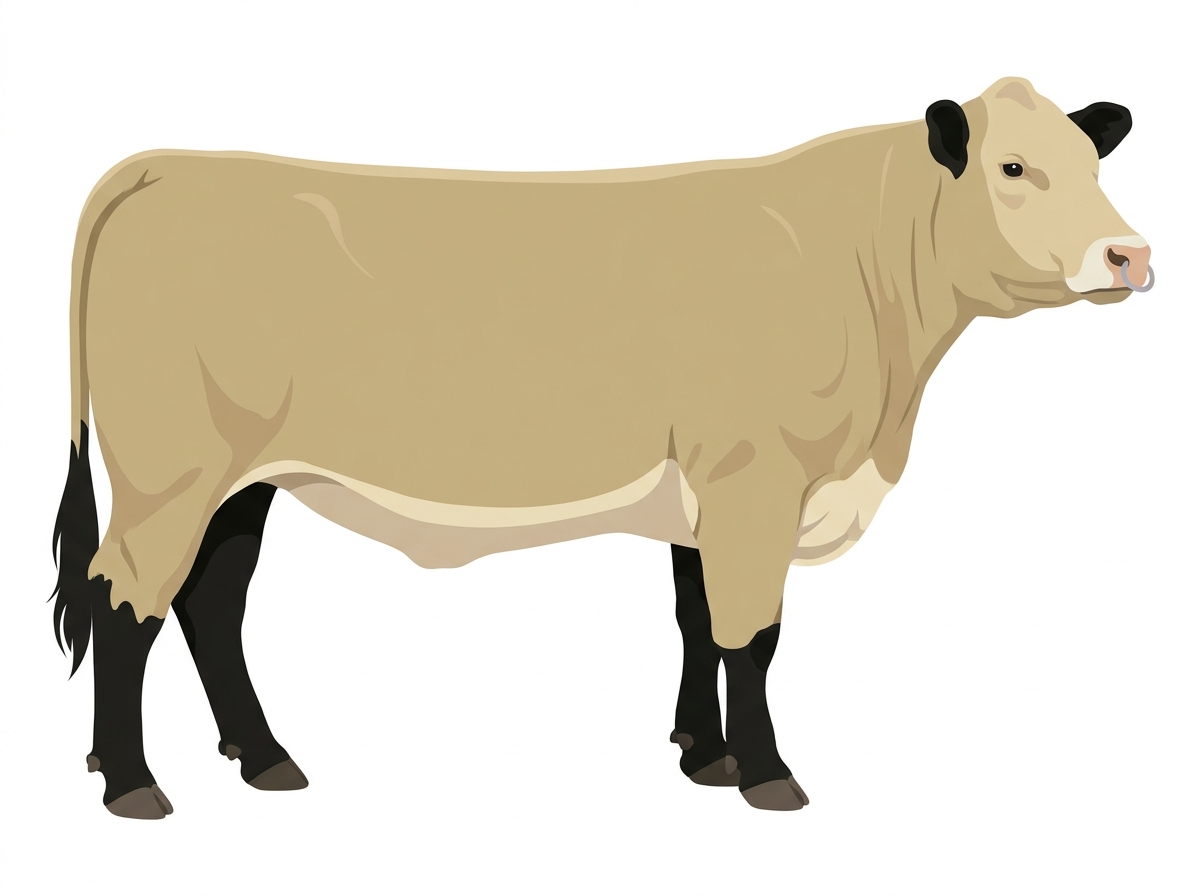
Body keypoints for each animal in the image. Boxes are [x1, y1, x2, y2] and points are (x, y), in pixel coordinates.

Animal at [51, 77, 1152, 818]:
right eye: (1013, 168)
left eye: (1096, 164)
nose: (1130, 253)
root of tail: (166, 162)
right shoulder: (758, 478)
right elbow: (752, 634)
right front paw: (767, 774)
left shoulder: (710, 492)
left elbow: (697, 619)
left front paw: (703, 755)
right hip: (169, 471)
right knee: (123, 599)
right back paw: (133, 782)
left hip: (243, 478)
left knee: (211, 599)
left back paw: (263, 755)